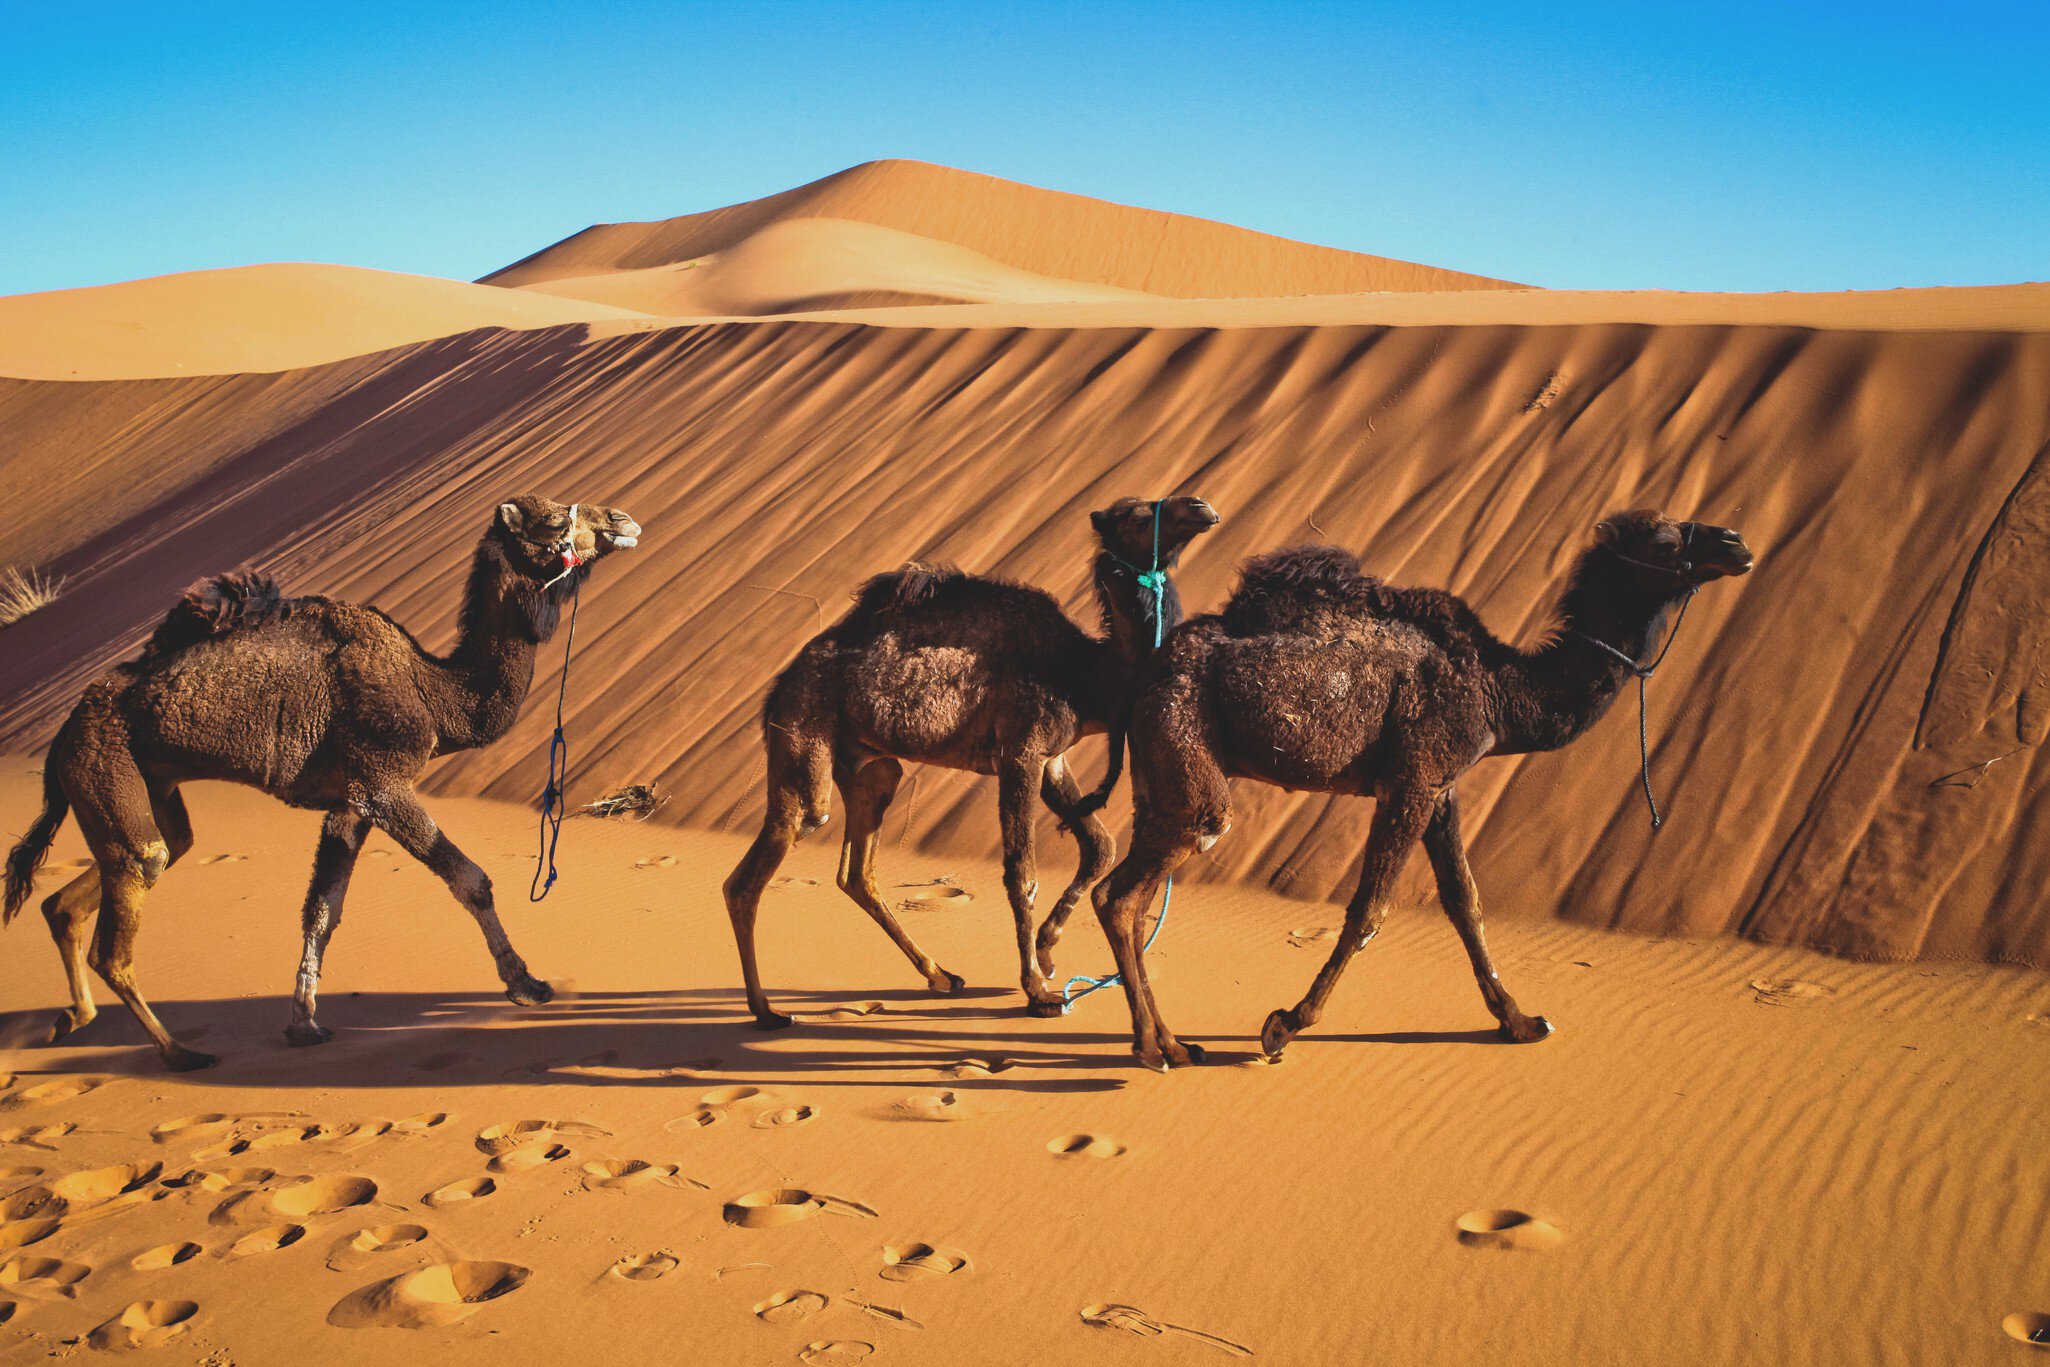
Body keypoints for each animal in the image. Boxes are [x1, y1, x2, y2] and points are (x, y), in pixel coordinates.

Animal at [2, 496, 642, 1071]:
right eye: (553, 519)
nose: (624, 520)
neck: (434, 693)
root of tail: (65, 730)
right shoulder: (382, 783)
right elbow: (471, 880)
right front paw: (527, 983)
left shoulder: (350, 802)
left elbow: (321, 910)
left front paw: (304, 1022)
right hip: (103, 767)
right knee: (127, 912)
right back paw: (177, 1052)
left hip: (144, 787)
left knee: (111, 877)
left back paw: (72, 1017)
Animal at [724, 495, 1221, 1027]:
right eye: (1137, 516)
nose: (1201, 507)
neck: (1083, 673)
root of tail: (780, 686)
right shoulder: (1020, 752)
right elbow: (1022, 872)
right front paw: (1038, 991)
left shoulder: (1052, 760)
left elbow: (1100, 846)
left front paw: (1047, 950)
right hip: (802, 736)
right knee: (757, 868)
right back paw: (767, 1011)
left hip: (872, 768)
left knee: (856, 872)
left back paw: (941, 975)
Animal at [1088, 509, 1753, 1070]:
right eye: (1663, 541)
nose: (1736, 543)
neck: (1496, 687)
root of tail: (1149, 672)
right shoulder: (1413, 778)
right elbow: (1369, 910)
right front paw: (1284, 1025)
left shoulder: (1442, 791)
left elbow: (1466, 902)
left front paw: (1521, 1022)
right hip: (1186, 745)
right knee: (1126, 892)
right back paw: (1156, 1049)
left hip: (1158, 776)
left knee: (1129, 898)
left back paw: (1173, 1042)